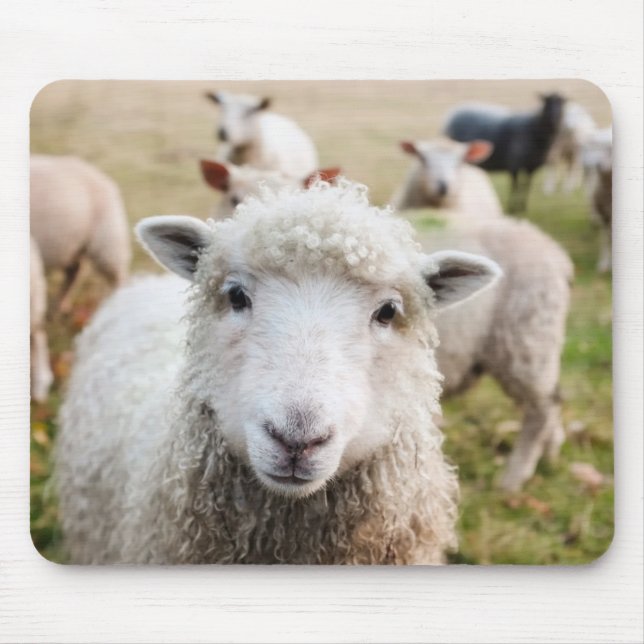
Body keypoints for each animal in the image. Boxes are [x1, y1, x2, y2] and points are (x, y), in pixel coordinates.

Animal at [393, 138, 573, 491]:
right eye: (422, 158)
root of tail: (556, 254)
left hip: (525, 339)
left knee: (543, 407)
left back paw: (514, 478)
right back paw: (551, 454)